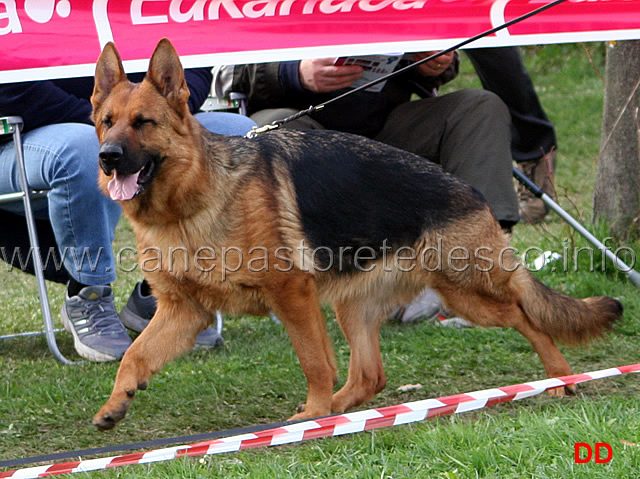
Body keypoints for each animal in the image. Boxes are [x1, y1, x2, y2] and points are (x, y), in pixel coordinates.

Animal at [89, 39, 620, 432]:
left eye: (144, 123)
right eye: (106, 123)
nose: (107, 158)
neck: (189, 203)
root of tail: (471, 191)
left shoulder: (292, 295)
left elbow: (314, 362)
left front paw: (314, 411)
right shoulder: (186, 312)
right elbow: (134, 356)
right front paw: (115, 404)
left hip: (468, 293)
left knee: (526, 318)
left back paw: (561, 377)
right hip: (354, 305)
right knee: (370, 376)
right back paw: (344, 410)